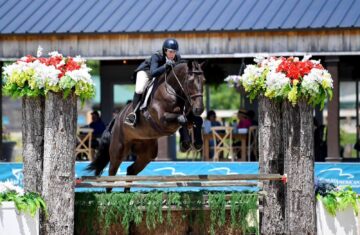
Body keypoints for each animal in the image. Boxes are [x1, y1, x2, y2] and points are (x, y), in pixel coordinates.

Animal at [86, 59, 205, 192]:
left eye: (204, 80)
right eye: (190, 81)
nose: (199, 109)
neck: (172, 91)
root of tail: (116, 118)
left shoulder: (186, 115)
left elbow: (197, 120)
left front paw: (197, 143)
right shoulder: (162, 120)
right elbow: (182, 119)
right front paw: (185, 144)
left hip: (147, 153)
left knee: (131, 170)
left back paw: (127, 194)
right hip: (118, 150)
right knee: (111, 173)